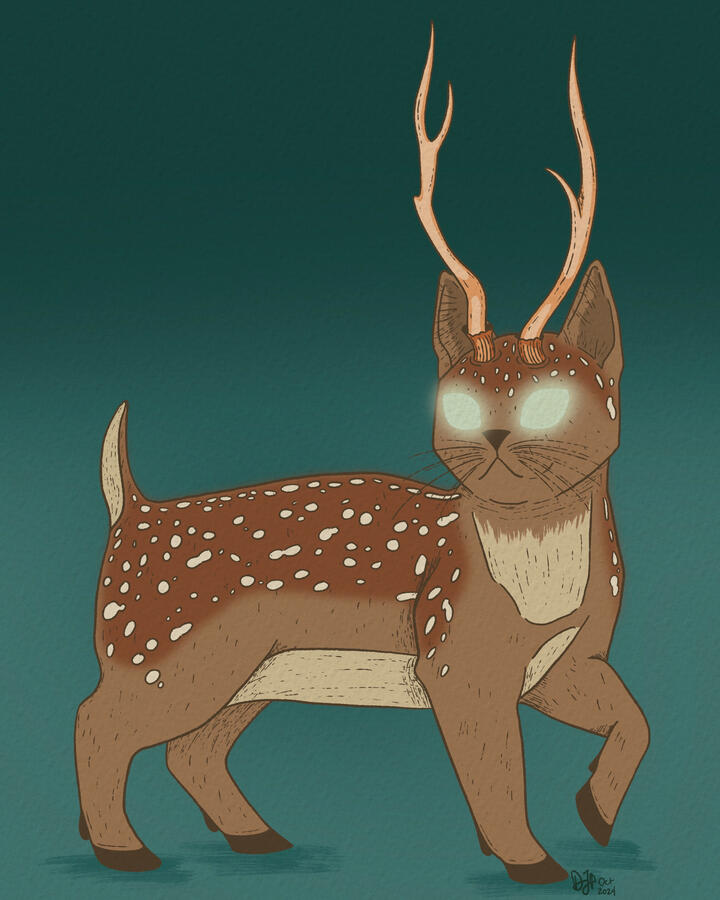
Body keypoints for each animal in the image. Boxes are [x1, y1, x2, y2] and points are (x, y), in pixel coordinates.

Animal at [74, 28, 649, 885]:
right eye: (458, 400)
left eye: (552, 397)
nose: (493, 438)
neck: (539, 589)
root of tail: (130, 511)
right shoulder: (455, 657)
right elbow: (497, 769)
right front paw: (528, 861)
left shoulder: (569, 661)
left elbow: (634, 721)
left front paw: (596, 816)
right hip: (161, 651)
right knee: (98, 721)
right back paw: (125, 851)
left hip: (247, 671)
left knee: (188, 751)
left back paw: (258, 838)